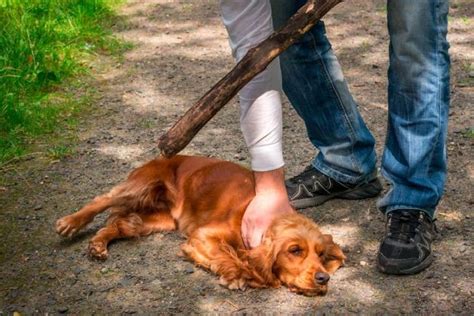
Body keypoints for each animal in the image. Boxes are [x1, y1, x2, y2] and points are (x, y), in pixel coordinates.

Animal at [55, 156, 344, 296]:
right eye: (294, 250)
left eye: (321, 254)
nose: (323, 278)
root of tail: (163, 156)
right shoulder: (202, 236)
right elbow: (227, 255)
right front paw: (239, 275)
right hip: (141, 186)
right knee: (102, 200)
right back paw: (69, 223)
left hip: (158, 220)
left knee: (121, 223)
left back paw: (97, 245)